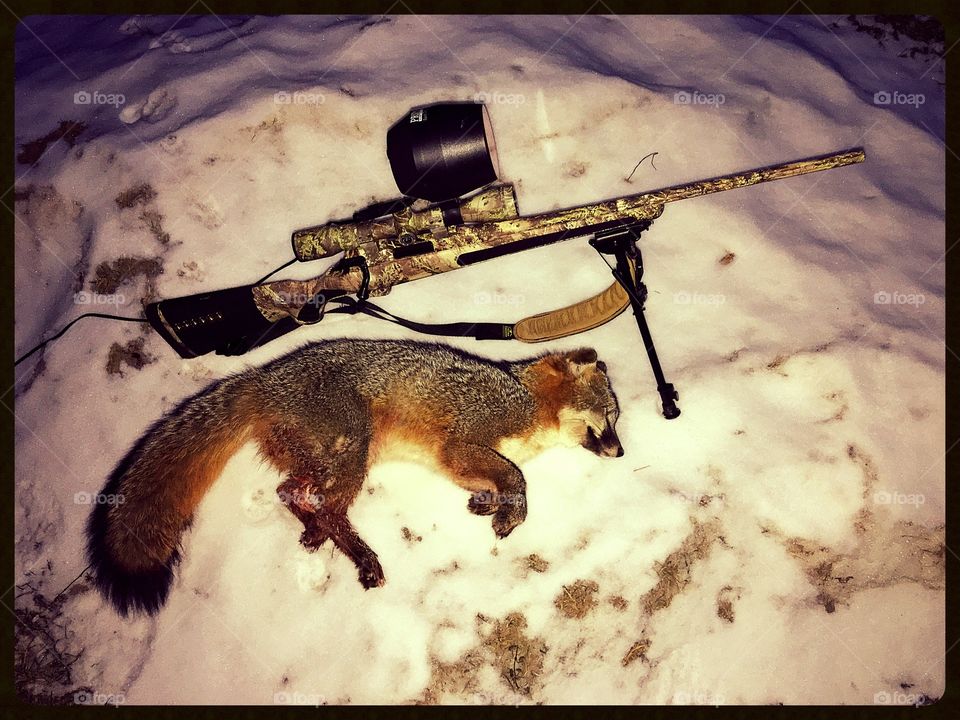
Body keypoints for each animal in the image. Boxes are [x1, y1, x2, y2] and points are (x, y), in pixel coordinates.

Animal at [87, 339, 624, 615]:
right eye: (610, 417)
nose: (621, 452)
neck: (525, 405)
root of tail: (264, 378)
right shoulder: (462, 445)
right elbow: (517, 479)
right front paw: (507, 516)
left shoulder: (453, 461)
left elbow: (496, 481)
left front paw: (486, 504)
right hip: (353, 452)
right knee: (326, 505)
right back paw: (362, 558)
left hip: (325, 460)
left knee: (292, 491)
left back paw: (313, 534)